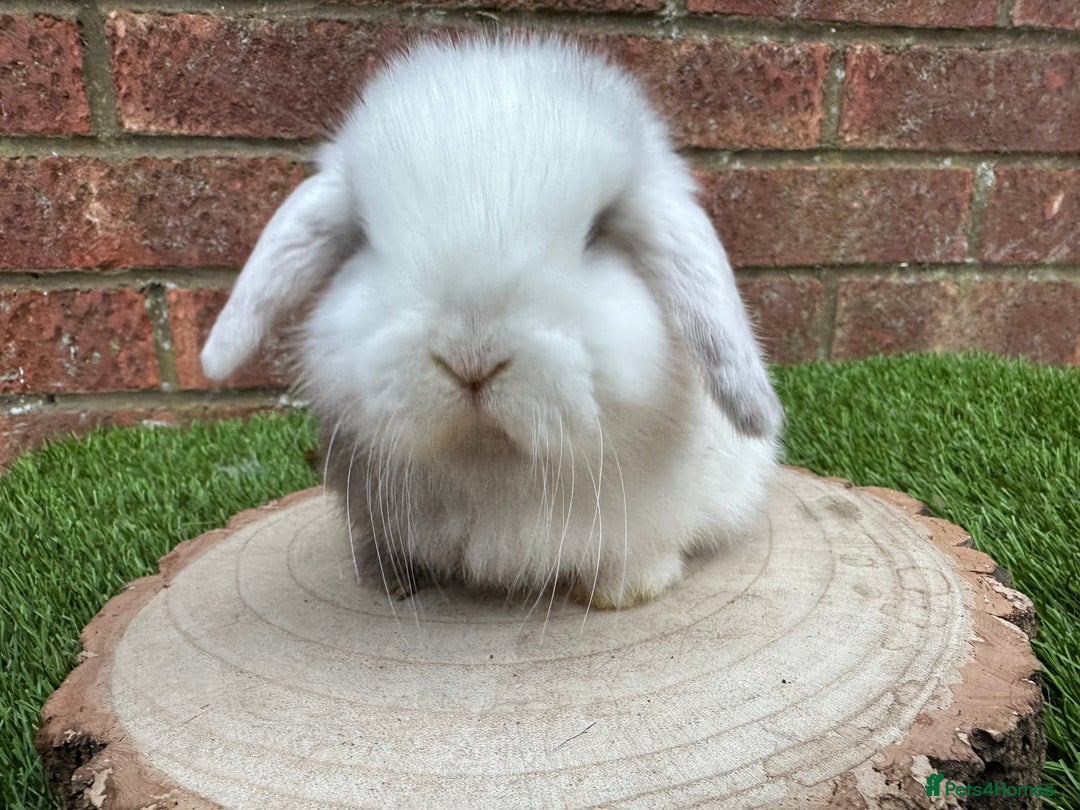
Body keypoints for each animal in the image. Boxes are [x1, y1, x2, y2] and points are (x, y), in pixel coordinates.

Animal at [200, 35, 783, 610]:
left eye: (597, 232)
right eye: (363, 236)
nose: (471, 359)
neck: (491, 466)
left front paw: (622, 590)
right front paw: (390, 578)